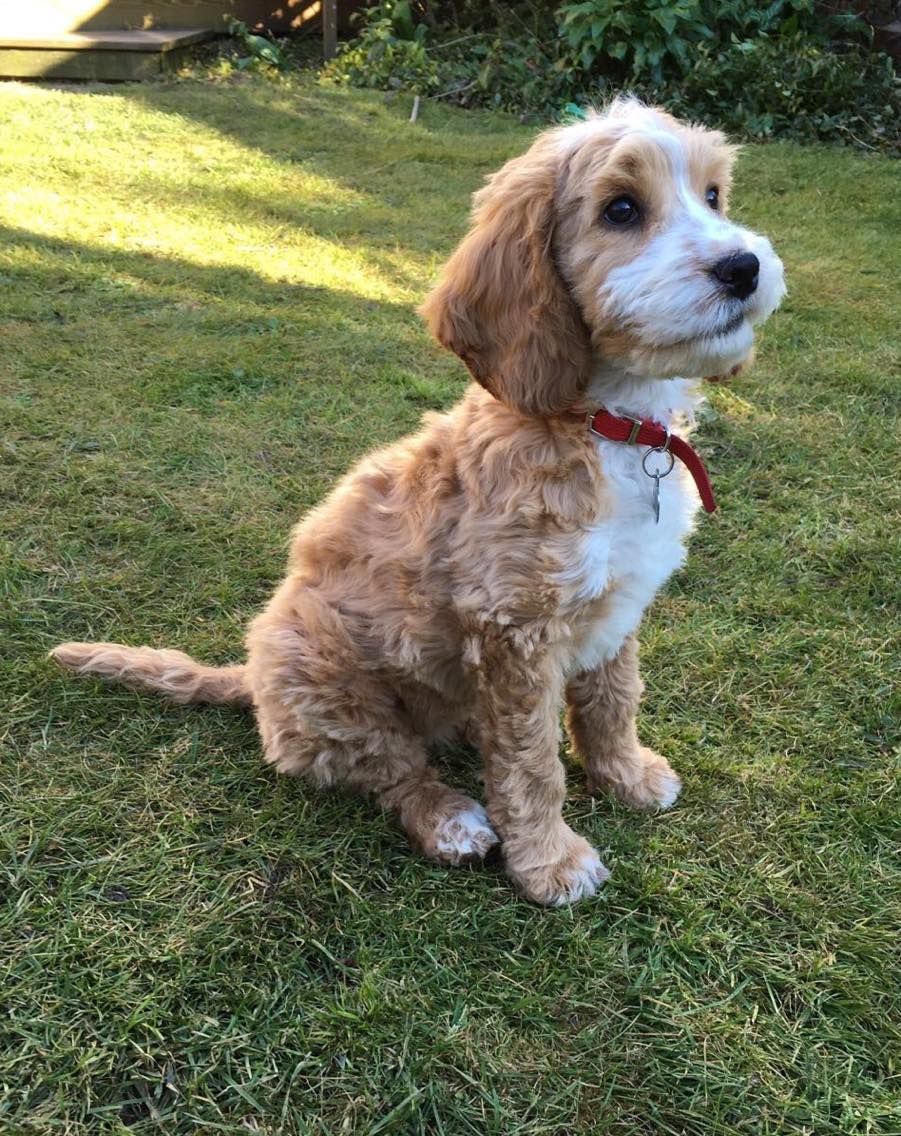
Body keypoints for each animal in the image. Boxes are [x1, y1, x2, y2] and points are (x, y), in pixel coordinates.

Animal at [50, 102, 781, 908]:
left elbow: (612, 698)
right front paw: (549, 861)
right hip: (324, 671)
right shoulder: (514, 632)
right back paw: (448, 819)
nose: (742, 267)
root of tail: (251, 678)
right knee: (390, 769)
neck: (604, 422)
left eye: (713, 195)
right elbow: (531, 763)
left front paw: (625, 775)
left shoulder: (618, 605)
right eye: (621, 209)